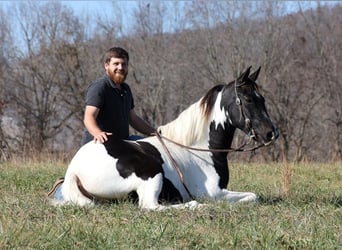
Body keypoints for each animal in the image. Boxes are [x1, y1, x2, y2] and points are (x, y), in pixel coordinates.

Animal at [53, 66, 278, 209]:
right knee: (151, 206)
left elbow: (253, 196)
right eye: (248, 99)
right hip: (151, 173)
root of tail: (74, 169)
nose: (271, 133)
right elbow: (253, 197)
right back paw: (193, 205)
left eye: (262, 99)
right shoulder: (215, 193)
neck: (201, 151)